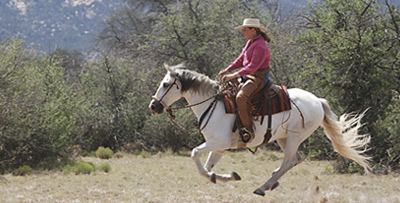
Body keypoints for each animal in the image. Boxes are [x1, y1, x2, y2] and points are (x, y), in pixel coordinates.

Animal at [148, 63, 370, 197]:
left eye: (166, 84)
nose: (154, 106)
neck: (213, 105)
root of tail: (318, 100)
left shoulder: (218, 142)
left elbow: (195, 154)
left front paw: (219, 176)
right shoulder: (219, 147)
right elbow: (208, 167)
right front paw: (225, 177)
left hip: (295, 137)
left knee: (288, 161)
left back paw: (262, 187)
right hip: (284, 138)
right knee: (294, 160)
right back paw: (271, 184)